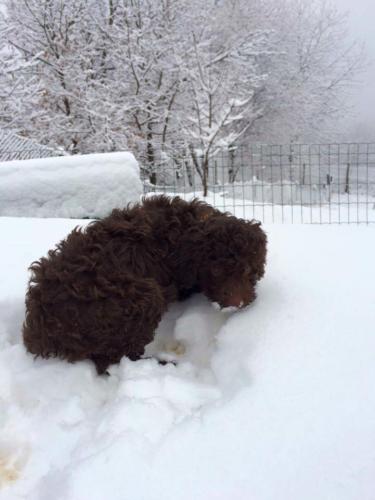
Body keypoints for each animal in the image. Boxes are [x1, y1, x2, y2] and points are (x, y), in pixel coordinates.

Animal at [23, 193, 268, 374]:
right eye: (216, 271)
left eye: (249, 270)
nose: (237, 304)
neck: (188, 227)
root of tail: (40, 330)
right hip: (143, 296)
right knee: (113, 359)